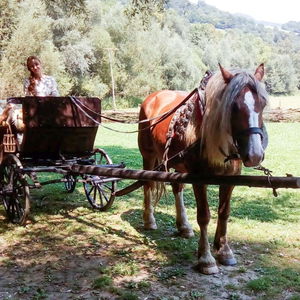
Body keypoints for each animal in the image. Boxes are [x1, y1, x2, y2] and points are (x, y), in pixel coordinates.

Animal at [137, 63, 268, 274]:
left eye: (262, 104)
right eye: (233, 106)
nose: (255, 154)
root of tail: (152, 97)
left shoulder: (231, 179)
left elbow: (224, 212)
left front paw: (224, 250)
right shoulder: (199, 179)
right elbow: (204, 216)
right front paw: (206, 258)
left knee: (177, 189)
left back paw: (183, 226)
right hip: (148, 156)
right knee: (147, 184)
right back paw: (149, 220)